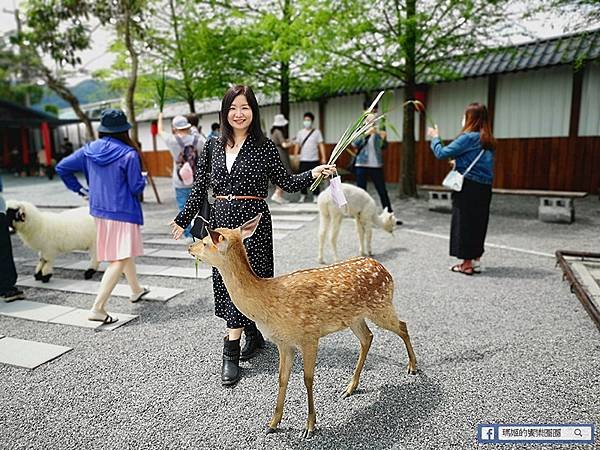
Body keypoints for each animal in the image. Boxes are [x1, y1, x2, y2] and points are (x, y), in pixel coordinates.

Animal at [188, 214, 418, 440]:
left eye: (206, 242)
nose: (190, 247)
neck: (267, 301)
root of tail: (384, 269)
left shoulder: (309, 335)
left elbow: (308, 379)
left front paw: (310, 426)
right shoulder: (284, 343)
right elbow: (282, 379)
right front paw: (273, 423)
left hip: (381, 305)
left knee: (403, 326)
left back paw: (412, 367)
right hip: (354, 317)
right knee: (368, 337)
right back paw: (350, 387)